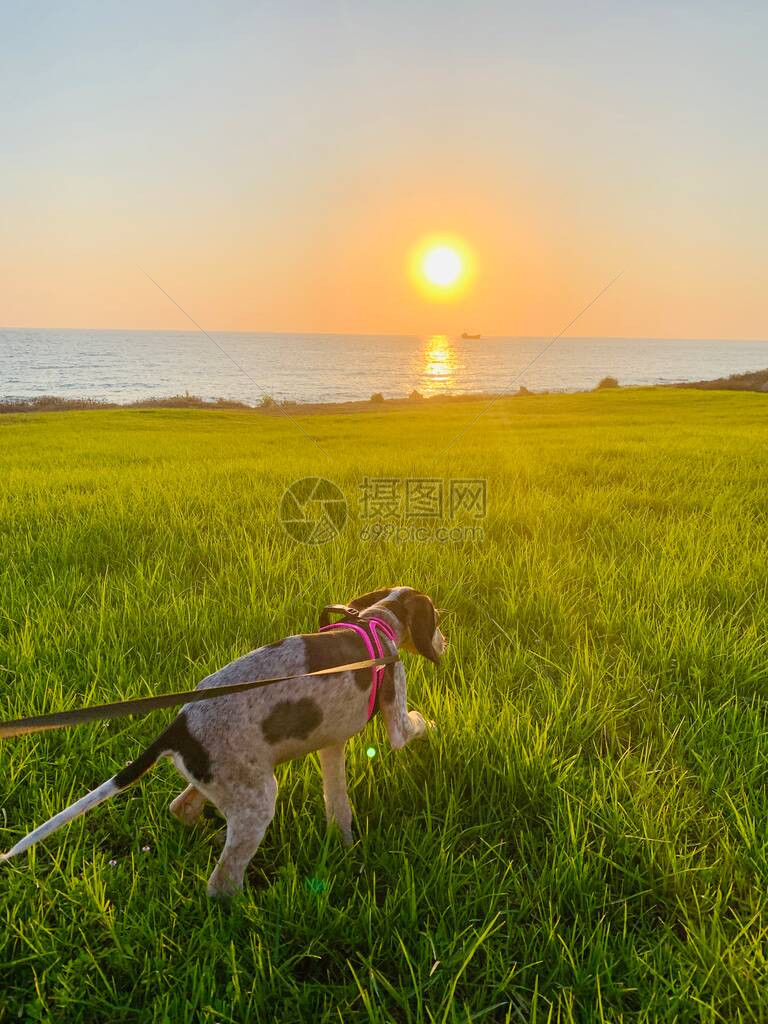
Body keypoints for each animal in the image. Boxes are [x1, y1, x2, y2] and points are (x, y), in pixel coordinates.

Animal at [3, 593, 444, 897]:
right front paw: (434, 724)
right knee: (222, 883)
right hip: (258, 795)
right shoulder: (395, 716)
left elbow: (338, 806)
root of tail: (178, 727)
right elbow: (414, 724)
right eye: (437, 618)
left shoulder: (331, 745)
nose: (444, 642)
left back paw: (211, 837)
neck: (376, 622)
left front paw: (346, 847)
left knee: (182, 808)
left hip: (225, 780)